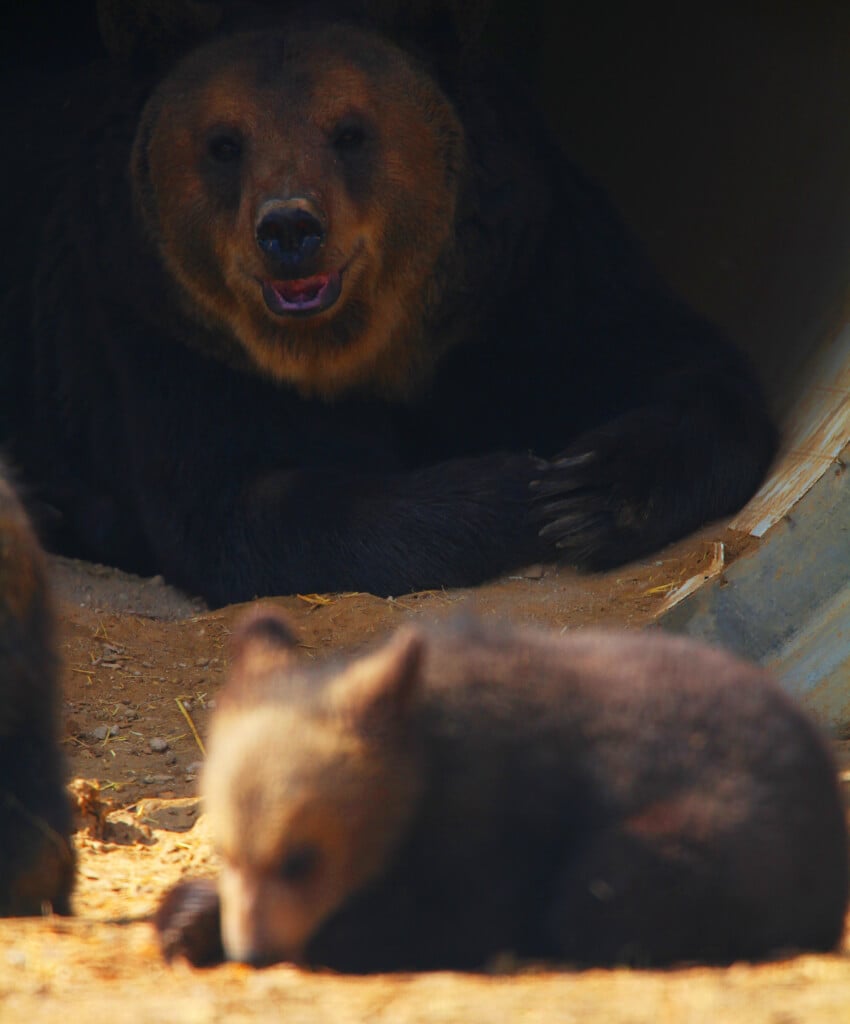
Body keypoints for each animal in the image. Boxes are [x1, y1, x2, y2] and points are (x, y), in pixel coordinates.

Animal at [0, 12, 778, 602]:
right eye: (224, 143)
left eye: (350, 131)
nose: (290, 229)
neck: (367, 344)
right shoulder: (164, 338)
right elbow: (239, 507)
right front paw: (508, 486)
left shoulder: (530, 280)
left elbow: (675, 362)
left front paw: (583, 492)